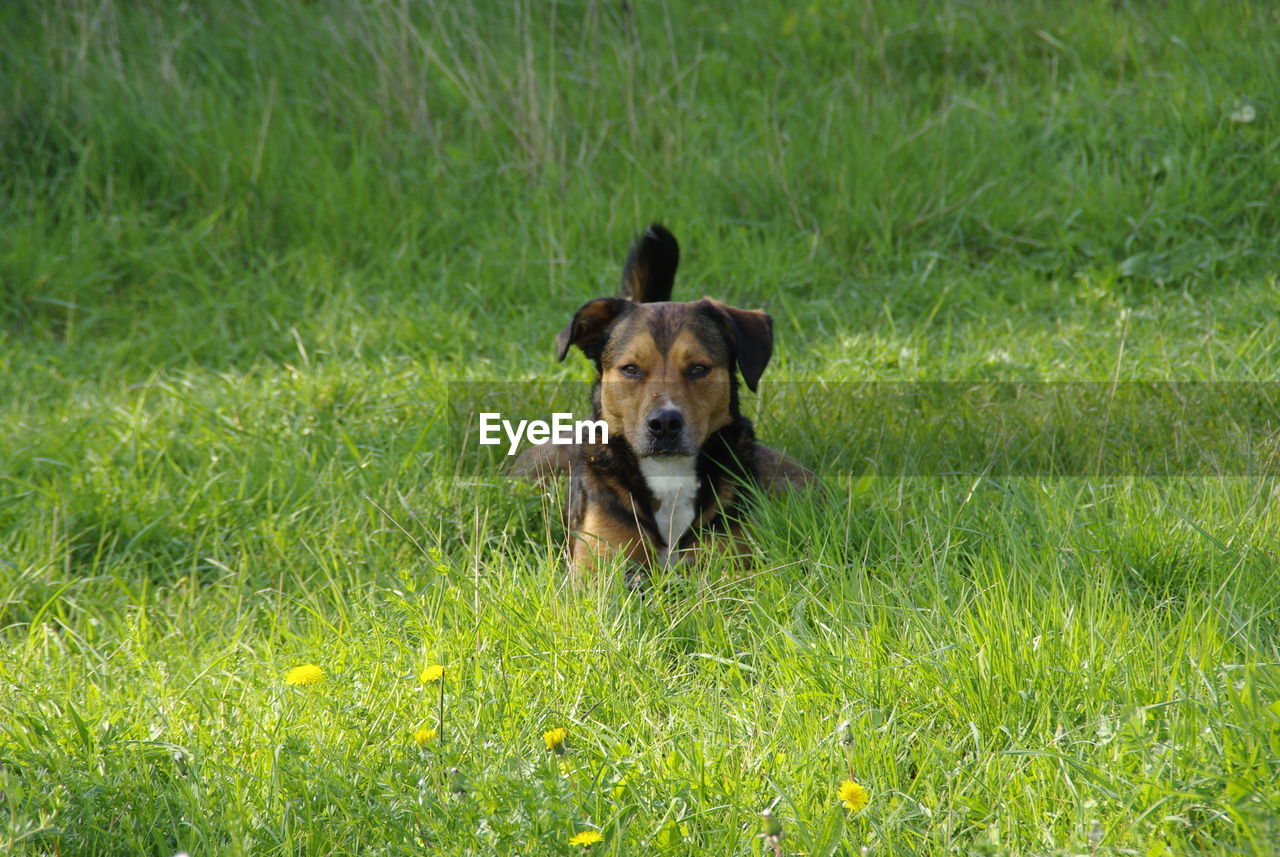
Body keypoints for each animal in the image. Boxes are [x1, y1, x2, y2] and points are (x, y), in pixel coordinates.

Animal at [509, 225, 808, 580]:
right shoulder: (596, 566)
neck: (669, 475)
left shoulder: (733, 561)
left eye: (699, 368)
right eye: (630, 369)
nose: (664, 423)